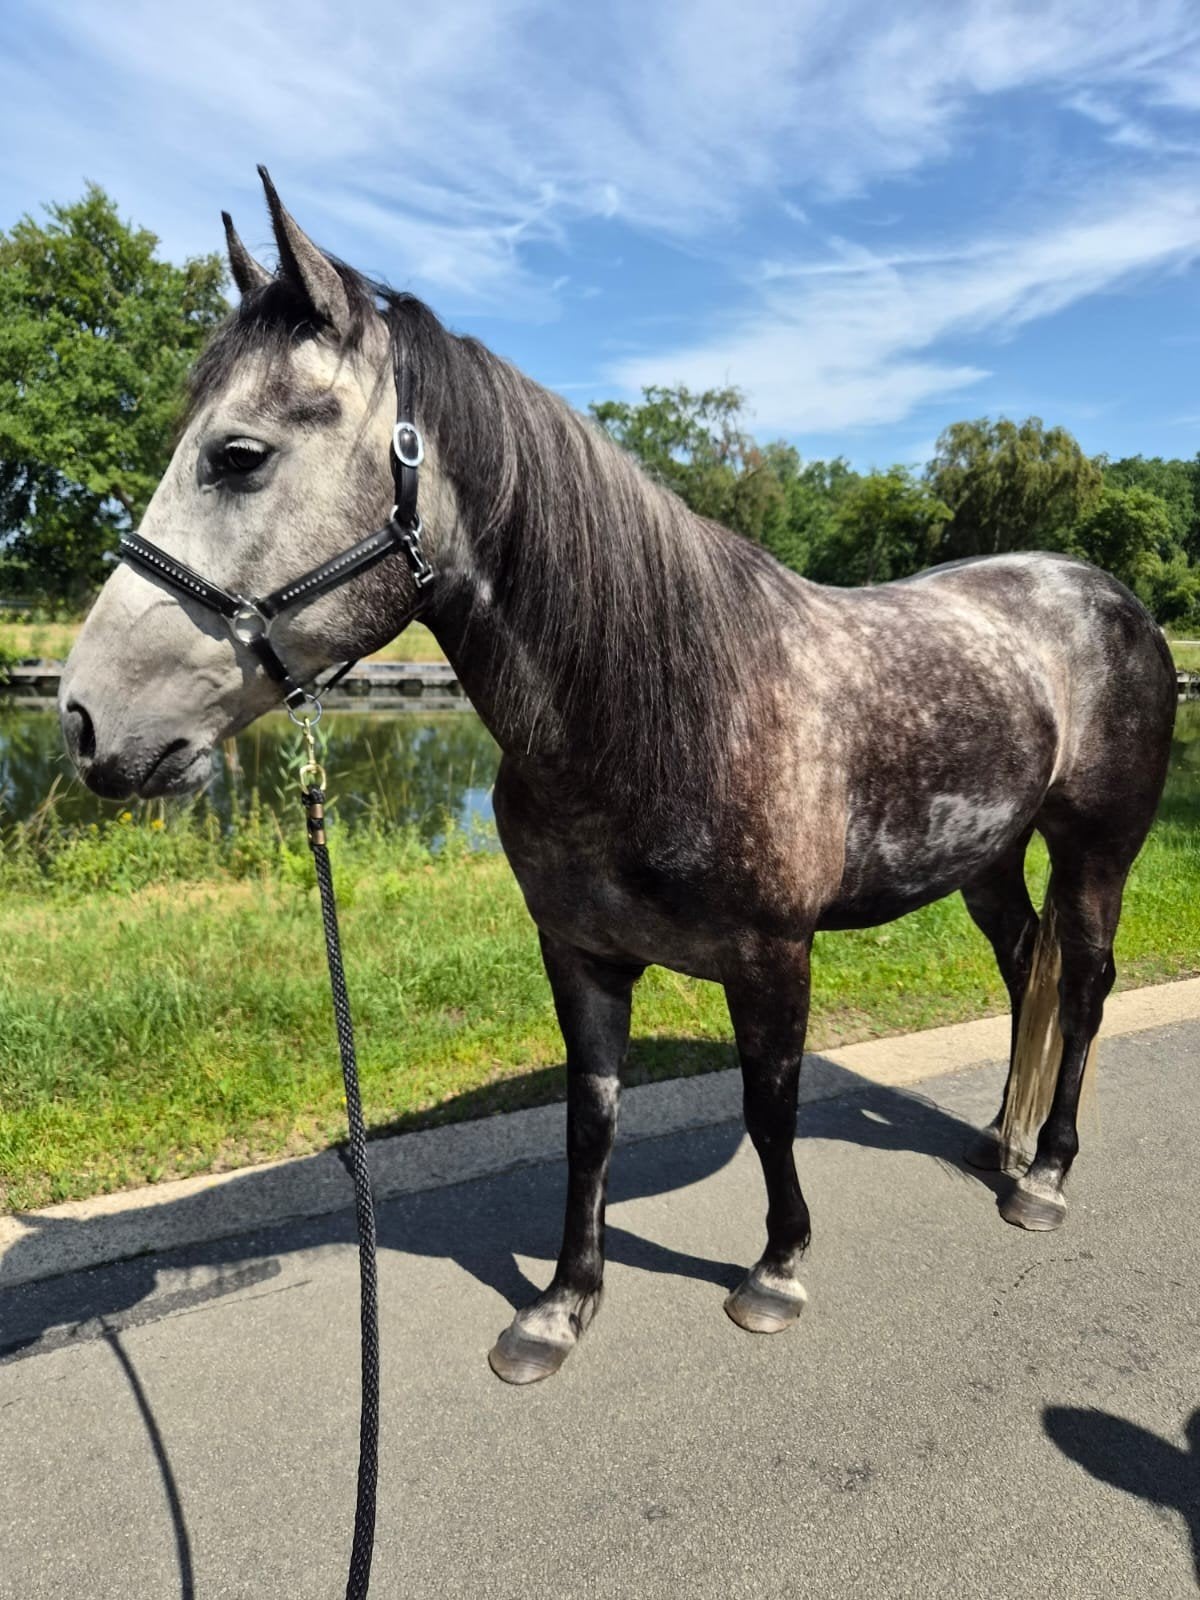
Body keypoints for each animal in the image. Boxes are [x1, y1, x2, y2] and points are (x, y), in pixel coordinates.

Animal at [60, 170, 1177, 1385]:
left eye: (238, 455)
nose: (83, 718)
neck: (655, 719)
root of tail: (1107, 595)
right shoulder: (581, 953)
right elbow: (590, 1118)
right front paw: (562, 1303)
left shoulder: (773, 960)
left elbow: (770, 1108)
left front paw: (776, 1270)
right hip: (987, 857)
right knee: (1026, 968)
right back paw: (1001, 1143)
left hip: (1097, 849)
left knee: (1085, 982)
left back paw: (1047, 1172)